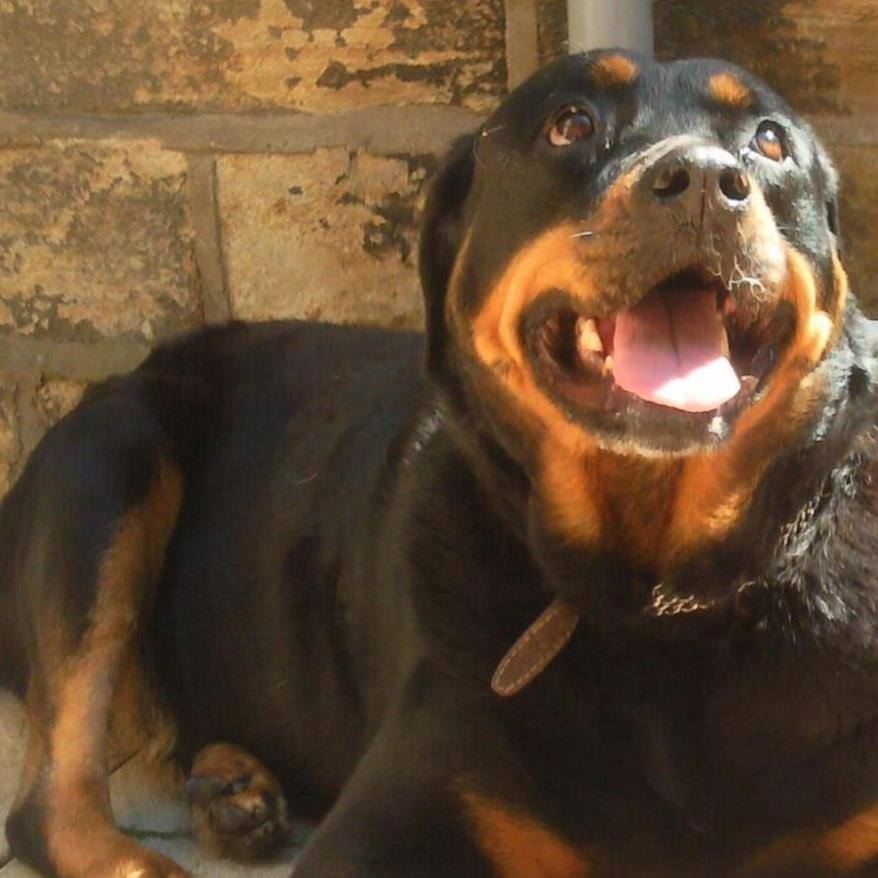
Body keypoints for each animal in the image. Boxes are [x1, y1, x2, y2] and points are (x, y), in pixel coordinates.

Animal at [2, 48, 877, 877]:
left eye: (770, 141)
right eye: (570, 123)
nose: (701, 180)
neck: (661, 606)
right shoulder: (397, 819)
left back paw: (233, 787)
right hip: (112, 458)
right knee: (49, 801)